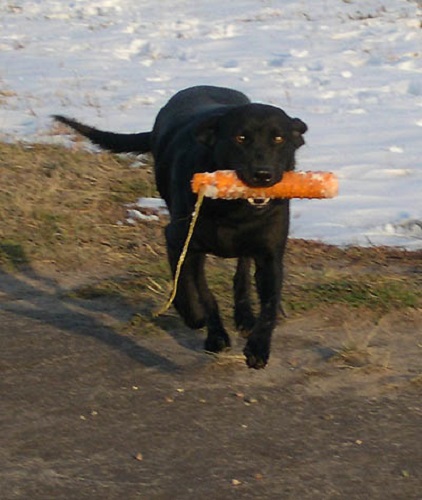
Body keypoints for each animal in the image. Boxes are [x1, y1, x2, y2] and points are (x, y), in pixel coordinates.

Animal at [55, 86, 306, 368]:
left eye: (278, 138)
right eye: (241, 137)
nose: (263, 174)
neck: (234, 211)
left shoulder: (270, 255)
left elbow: (270, 305)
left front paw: (258, 348)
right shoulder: (181, 243)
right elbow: (195, 291)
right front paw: (203, 325)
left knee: (241, 271)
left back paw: (244, 316)